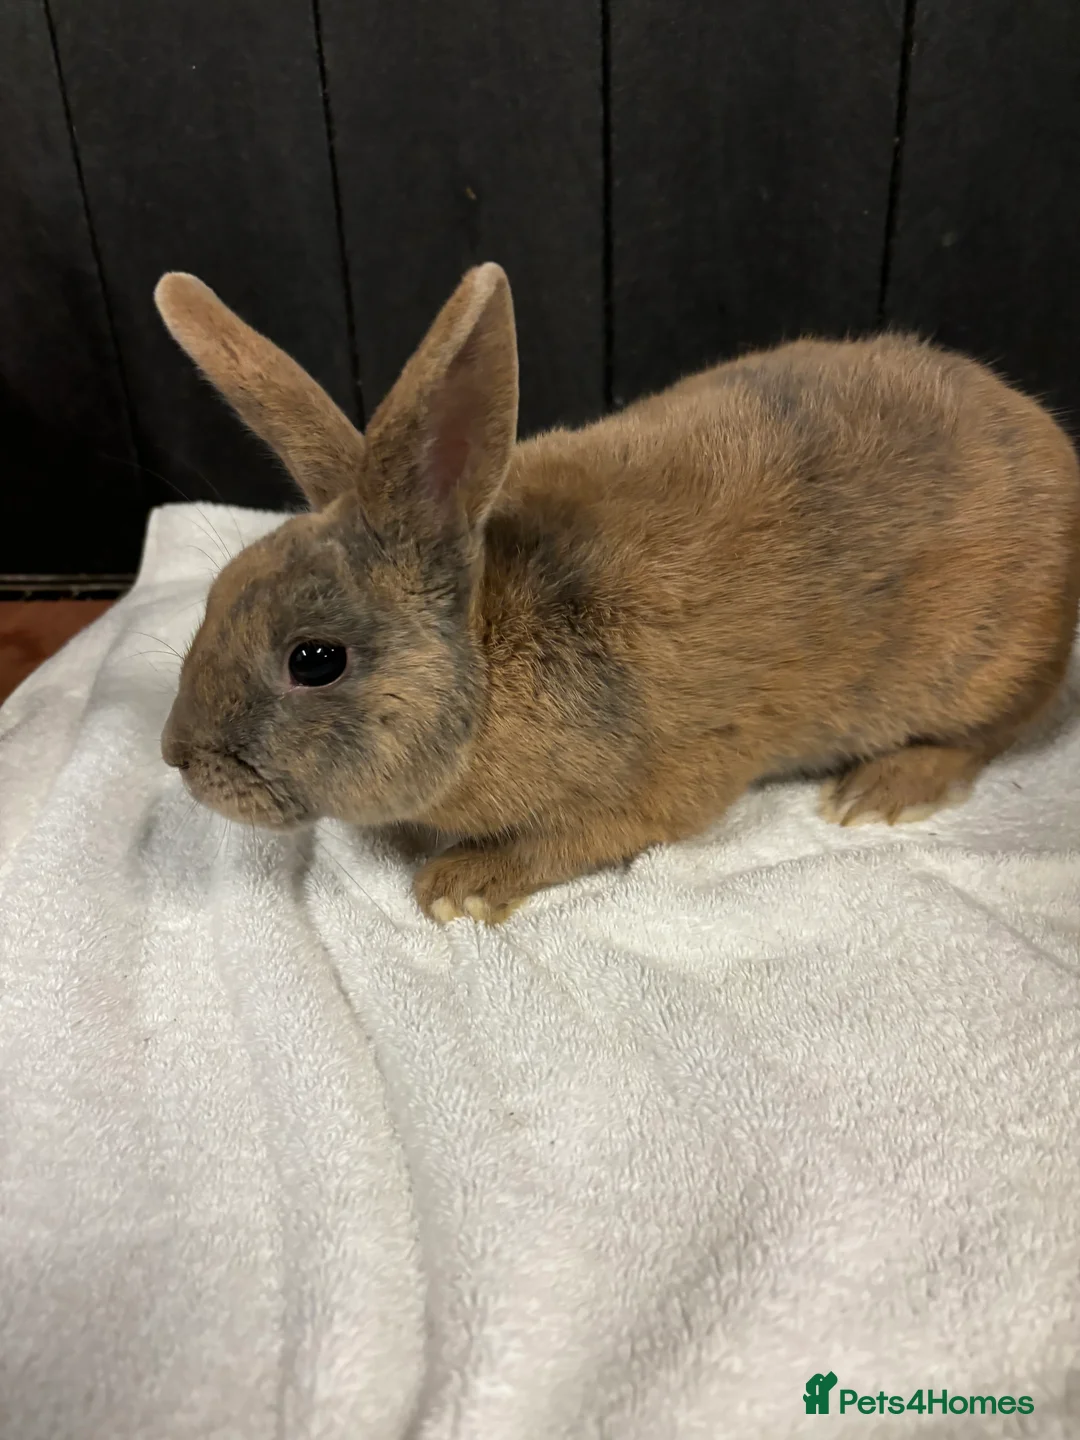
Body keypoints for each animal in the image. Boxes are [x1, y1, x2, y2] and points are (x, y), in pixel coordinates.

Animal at [155, 263, 1080, 924]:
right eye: (218, 593)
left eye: (314, 660)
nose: (178, 757)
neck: (488, 654)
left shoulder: (648, 789)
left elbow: (571, 841)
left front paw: (459, 884)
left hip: (985, 666)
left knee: (989, 736)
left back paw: (878, 791)